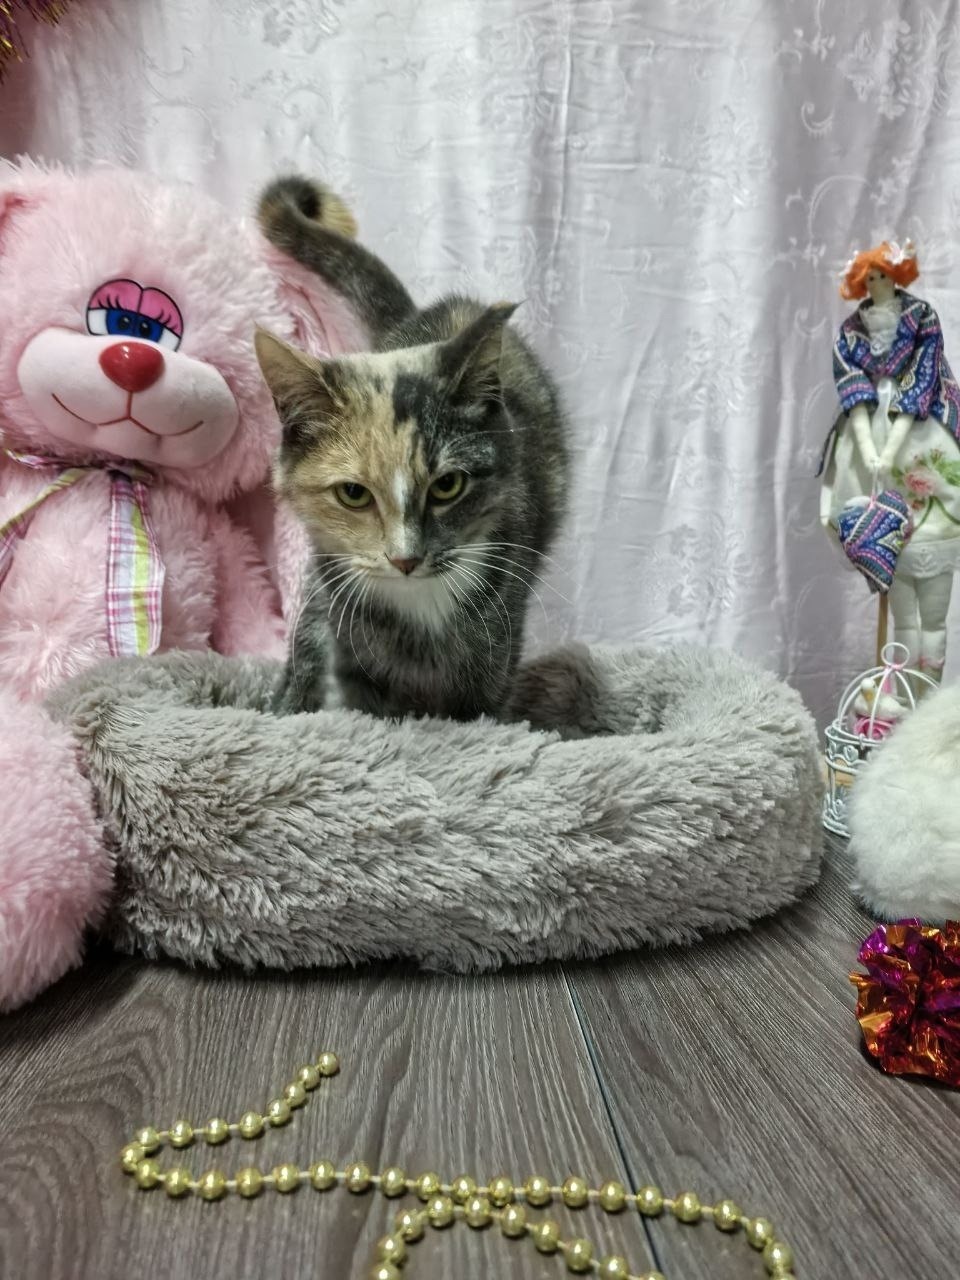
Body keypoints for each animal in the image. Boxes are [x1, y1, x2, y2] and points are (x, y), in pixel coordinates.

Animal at [255, 175, 570, 721]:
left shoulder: (498, 632)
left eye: (448, 485)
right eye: (354, 494)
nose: (405, 559)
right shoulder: (349, 632)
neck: (417, 603)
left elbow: (479, 711)